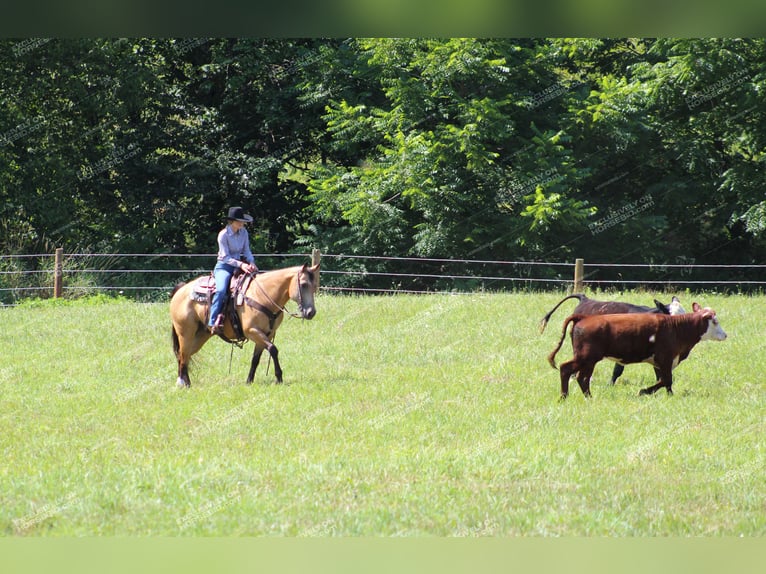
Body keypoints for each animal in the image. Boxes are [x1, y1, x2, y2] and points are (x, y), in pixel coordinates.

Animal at [170, 264, 320, 390]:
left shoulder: (266, 334)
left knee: (185, 356)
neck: (262, 295)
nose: (311, 312)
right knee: (183, 355)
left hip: (200, 335)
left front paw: (249, 380)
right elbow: (273, 349)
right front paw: (279, 378)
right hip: (185, 334)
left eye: (315, 286)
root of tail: (180, 290)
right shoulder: (252, 331)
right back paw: (183, 383)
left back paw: (186, 382)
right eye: (304, 284)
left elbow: (256, 359)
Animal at [548, 306, 728, 400]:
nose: (725, 335)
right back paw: (564, 397)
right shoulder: (665, 358)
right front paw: (644, 392)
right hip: (585, 357)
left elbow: (665, 381)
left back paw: (589, 397)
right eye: (715, 321)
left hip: (589, 360)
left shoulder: (660, 362)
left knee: (582, 378)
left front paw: (668, 395)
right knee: (566, 369)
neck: (677, 328)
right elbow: (666, 379)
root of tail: (584, 317)